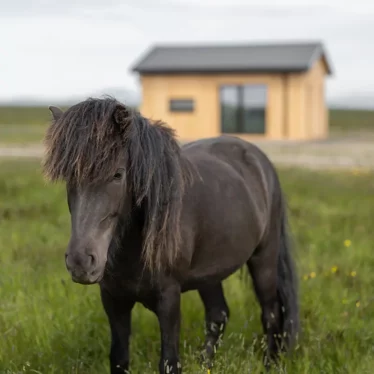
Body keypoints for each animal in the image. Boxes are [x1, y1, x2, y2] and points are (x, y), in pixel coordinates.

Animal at [43, 97, 300, 374]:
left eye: (118, 174)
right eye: (69, 176)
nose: (80, 261)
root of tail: (258, 158)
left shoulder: (169, 299)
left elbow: (169, 362)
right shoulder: (113, 300)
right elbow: (119, 359)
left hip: (264, 257)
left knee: (270, 311)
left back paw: (271, 363)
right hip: (209, 273)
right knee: (218, 315)